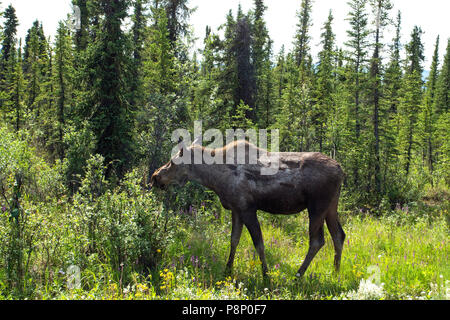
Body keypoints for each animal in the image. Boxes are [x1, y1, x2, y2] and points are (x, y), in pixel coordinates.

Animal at [149, 139, 346, 278]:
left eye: (172, 161)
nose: (155, 177)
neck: (215, 180)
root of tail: (341, 170)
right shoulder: (236, 210)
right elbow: (234, 240)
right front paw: (227, 270)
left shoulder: (247, 208)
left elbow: (259, 244)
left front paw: (266, 276)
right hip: (331, 207)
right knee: (339, 235)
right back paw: (335, 272)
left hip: (317, 207)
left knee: (317, 241)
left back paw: (298, 275)